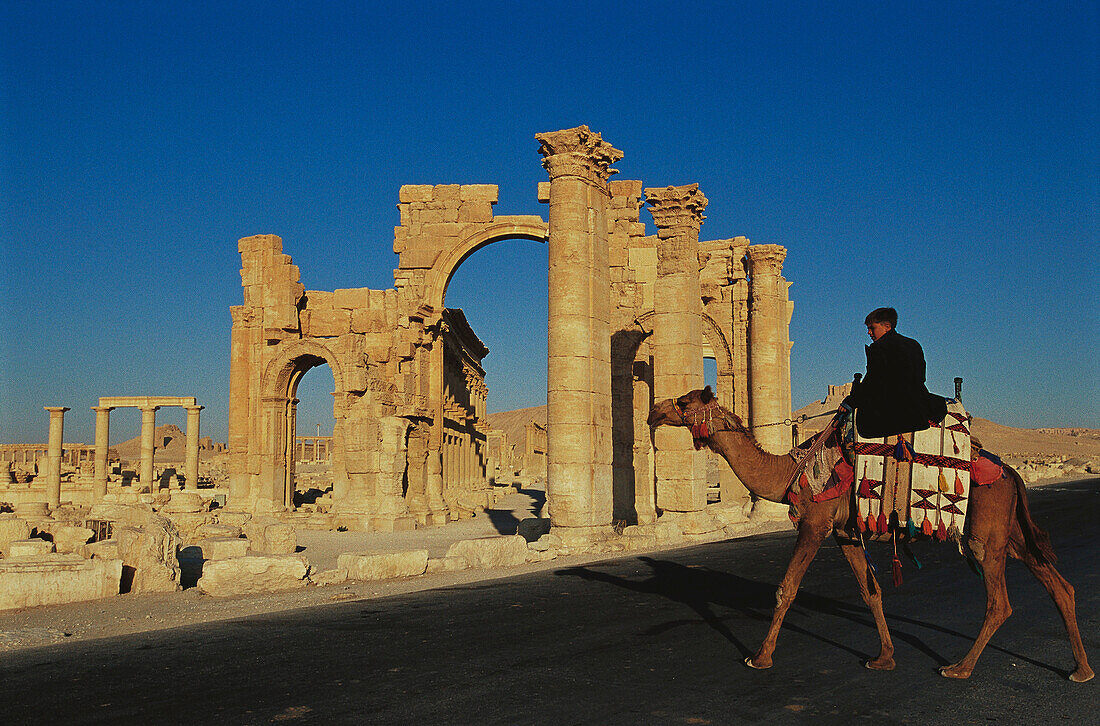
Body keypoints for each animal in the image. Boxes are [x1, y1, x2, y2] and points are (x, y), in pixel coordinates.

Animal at [642, 385, 1091, 682]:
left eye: (685, 402)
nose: (654, 411)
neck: (790, 471)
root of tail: (1012, 472)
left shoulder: (816, 523)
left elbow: (786, 588)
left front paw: (760, 657)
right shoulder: (845, 532)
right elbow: (870, 591)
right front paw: (884, 657)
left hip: (986, 536)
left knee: (1000, 603)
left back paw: (959, 668)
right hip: (1011, 534)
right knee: (1059, 584)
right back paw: (1081, 669)